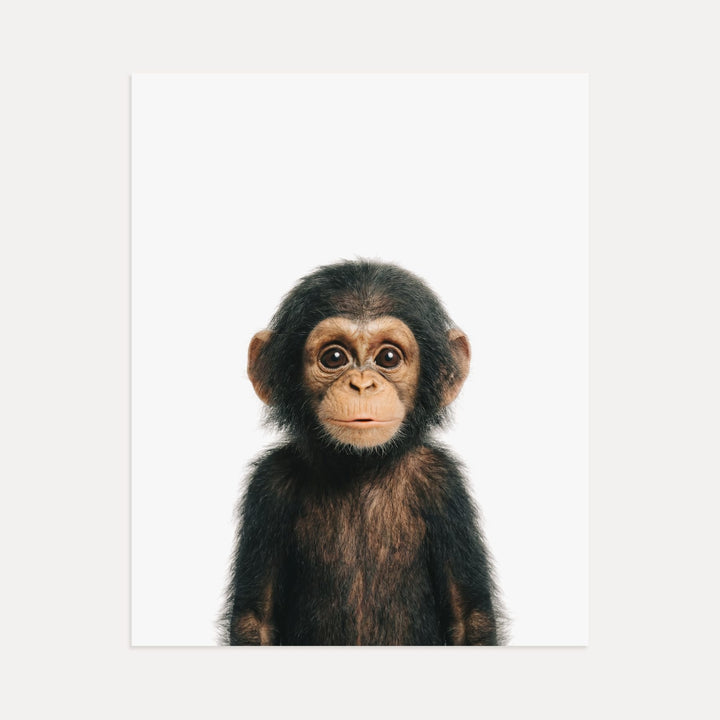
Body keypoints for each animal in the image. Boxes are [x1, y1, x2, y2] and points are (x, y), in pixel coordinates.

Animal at [220, 259, 506, 645]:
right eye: (334, 357)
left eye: (388, 357)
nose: (362, 384)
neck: (361, 466)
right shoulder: (269, 484)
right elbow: (255, 620)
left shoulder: (444, 482)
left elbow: (469, 619)